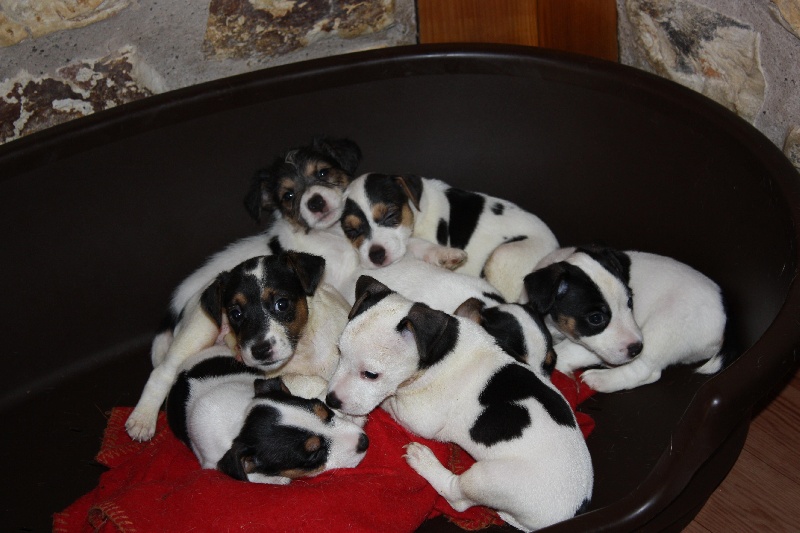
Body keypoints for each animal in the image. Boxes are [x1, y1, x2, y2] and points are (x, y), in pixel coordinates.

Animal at [126, 251, 348, 438]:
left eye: (282, 304)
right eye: (236, 314)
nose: (260, 350)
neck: (303, 348)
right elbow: (305, 381)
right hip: (199, 330)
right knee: (162, 372)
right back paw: (142, 418)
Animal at [168, 342, 368, 484]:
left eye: (324, 412)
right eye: (313, 455)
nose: (364, 441)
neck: (241, 418)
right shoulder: (212, 462)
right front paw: (276, 478)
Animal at [324, 276, 592, 528]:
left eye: (371, 374)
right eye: (339, 352)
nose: (331, 400)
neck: (444, 347)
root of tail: (575, 509)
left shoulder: (419, 418)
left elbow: (386, 401)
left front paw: (358, 414)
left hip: (487, 479)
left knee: (457, 497)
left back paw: (425, 462)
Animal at [340, 172, 560, 302]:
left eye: (390, 215)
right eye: (351, 231)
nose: (376, 255)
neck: (417, 210)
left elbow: (414, 243)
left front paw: (444, 256)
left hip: (502, 255)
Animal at [524, 245, 732, 390]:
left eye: (630, 303)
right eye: (596, 318)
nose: (636, 348)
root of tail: (726, 319)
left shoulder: (590, 346)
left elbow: (567, 352)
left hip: (665, 328)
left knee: (646, 371)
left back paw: (601, 379)